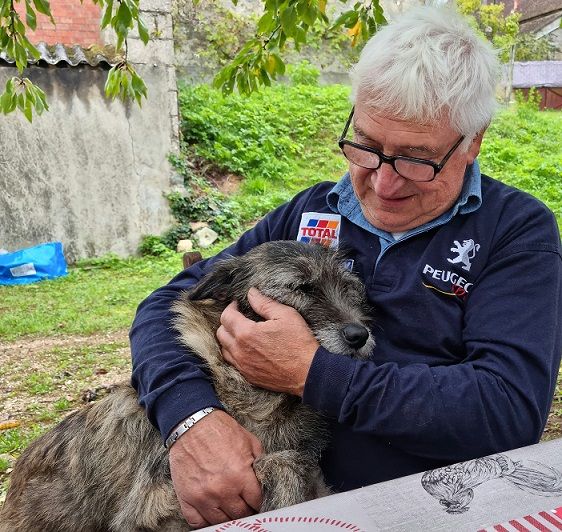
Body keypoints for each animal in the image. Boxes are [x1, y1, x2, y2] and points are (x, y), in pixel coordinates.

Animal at [0, 241, 374, 531]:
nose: (359, 335)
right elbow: (281, 465)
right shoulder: (158, 508)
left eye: (348, 288)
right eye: (300, 288)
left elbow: (294, 468)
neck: (244, 390)